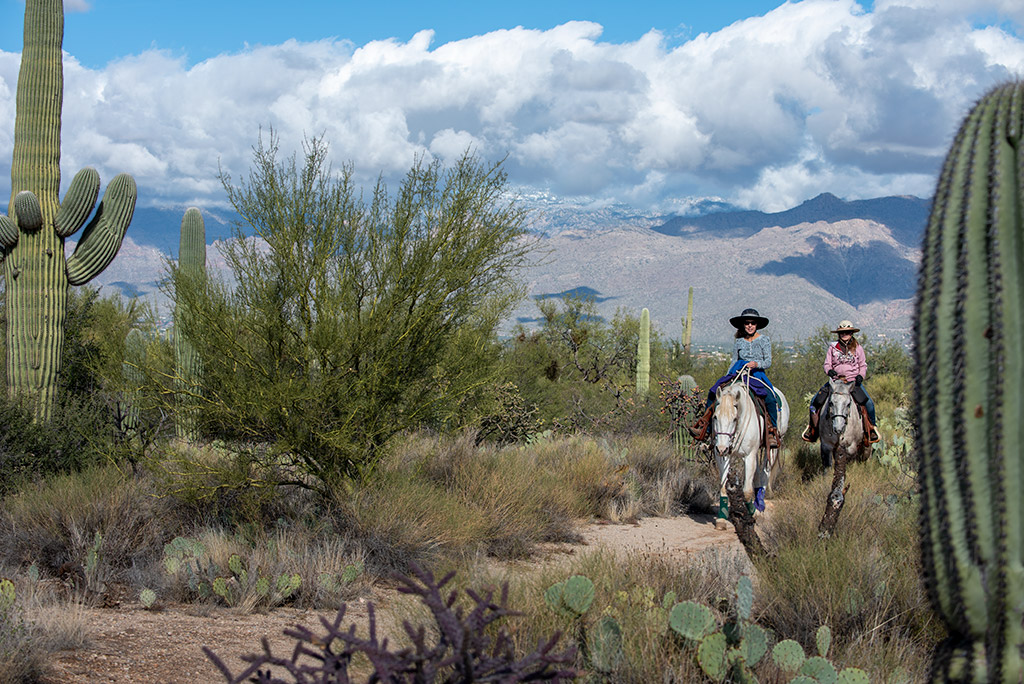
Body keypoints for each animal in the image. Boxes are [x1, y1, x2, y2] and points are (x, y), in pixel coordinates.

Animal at [712, 374, 790, 528]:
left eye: (734, 418)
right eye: (715, 417)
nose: (722, 448)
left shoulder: (749, 456)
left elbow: (747, 491)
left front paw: (753, 513)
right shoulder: (723, 456)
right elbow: (723, 486)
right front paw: (721, 518)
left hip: (772, 448)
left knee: (765, 473)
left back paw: (760, 505)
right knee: (758, 474)